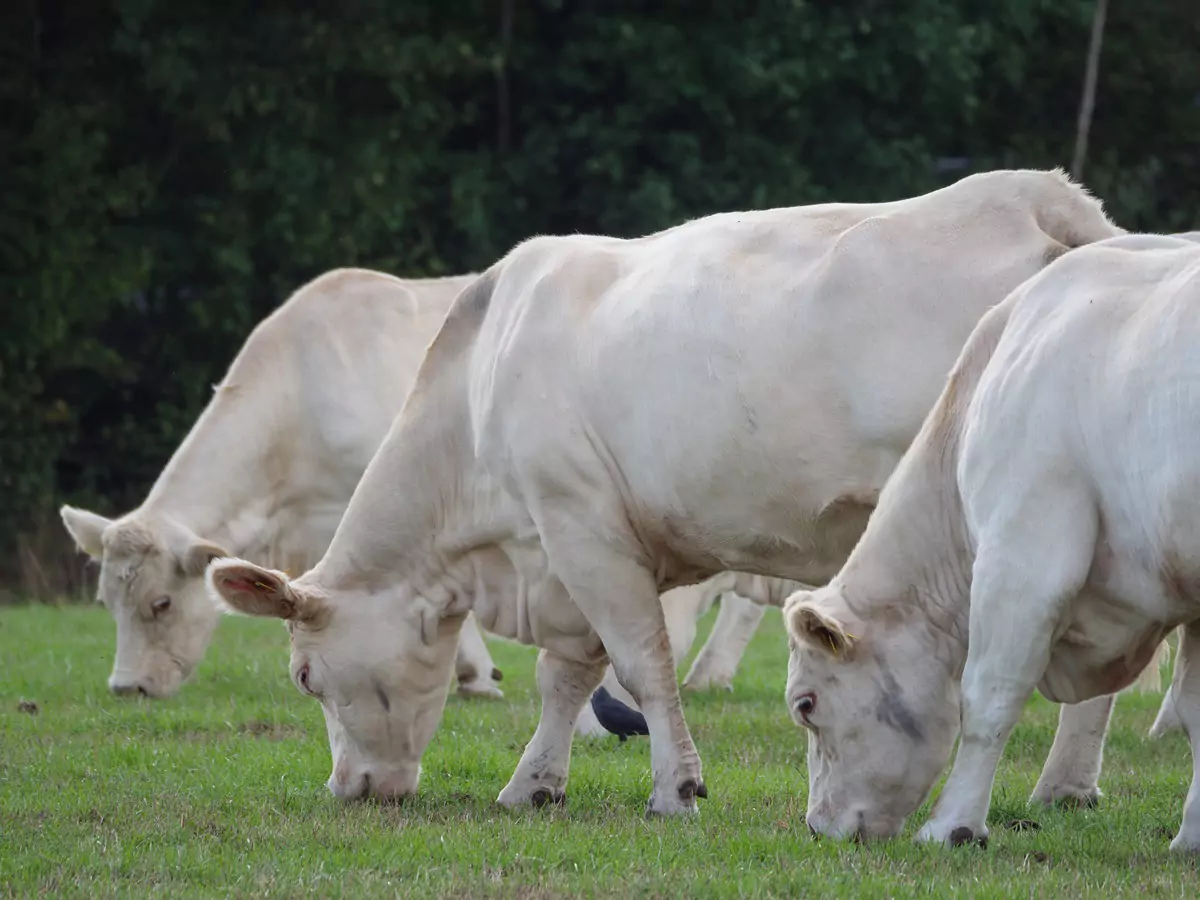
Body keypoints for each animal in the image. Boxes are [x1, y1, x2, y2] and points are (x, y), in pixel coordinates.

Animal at [201, 169, 1128, 816]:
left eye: (306, 677)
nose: (348, 788)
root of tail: (1043, 198)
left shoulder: (581, 525)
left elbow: (641, 663)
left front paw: (673, 789)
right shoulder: (570, 551)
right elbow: (568, 675)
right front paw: (534, 783)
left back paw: (1057, 783)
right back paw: (1067, 787)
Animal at [782, 232, 1200, 854]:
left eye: (806, 705)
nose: (817, 827)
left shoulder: (1023, 555)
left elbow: (988, 698)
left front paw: (953, 826)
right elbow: (1196, 710)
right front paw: (1192, 836)